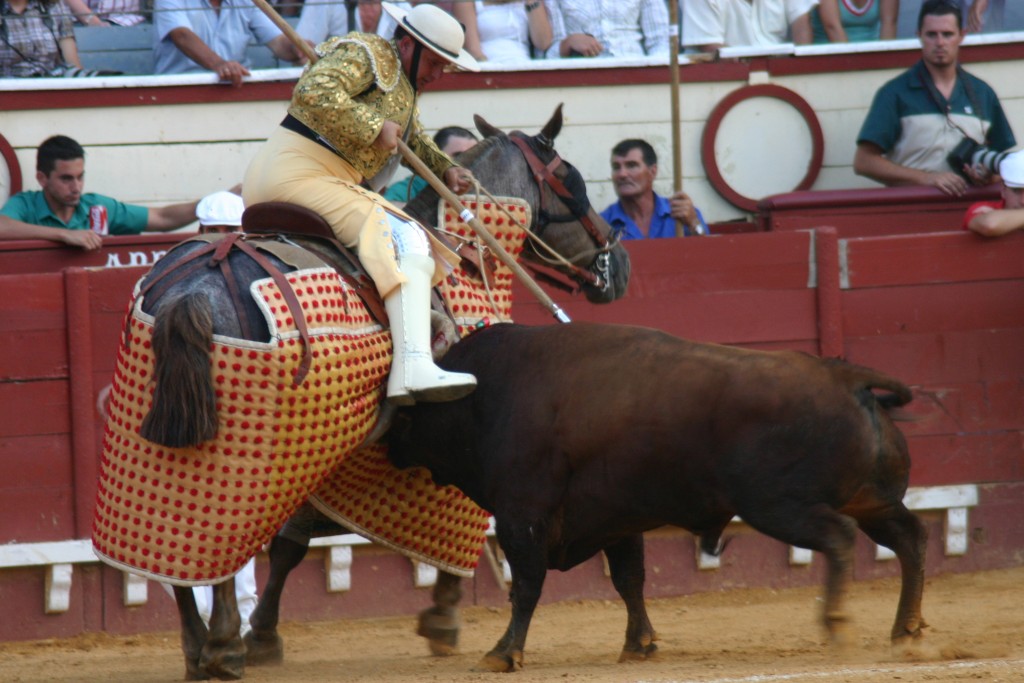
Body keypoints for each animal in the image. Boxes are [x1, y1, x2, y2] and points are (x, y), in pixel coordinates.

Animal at [92, 104, 626, 679]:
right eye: (573, 182)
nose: (619, 265)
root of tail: (193, 289)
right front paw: (442, 618)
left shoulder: (337, 453)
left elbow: (291, 543)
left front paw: (266, 636)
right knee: (219, 547)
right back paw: (223, 646)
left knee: (175, 551)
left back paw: (198, 647)